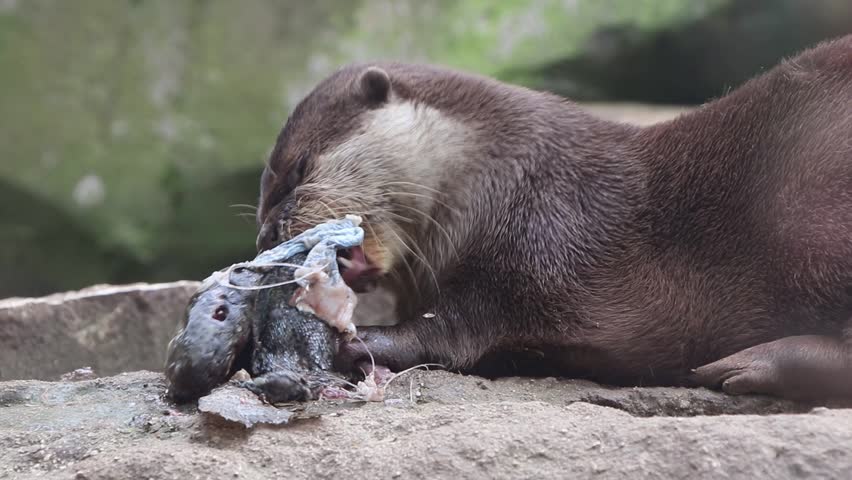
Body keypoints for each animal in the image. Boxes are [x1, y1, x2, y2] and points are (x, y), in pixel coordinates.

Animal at [255, 35, 852, 402]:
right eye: (264, 194)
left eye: (296, 172)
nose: (264, 233)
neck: (496, 177)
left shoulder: (537, 236)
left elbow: (456, 330)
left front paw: (363, 343)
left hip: (809, 221)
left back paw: (753, 364)